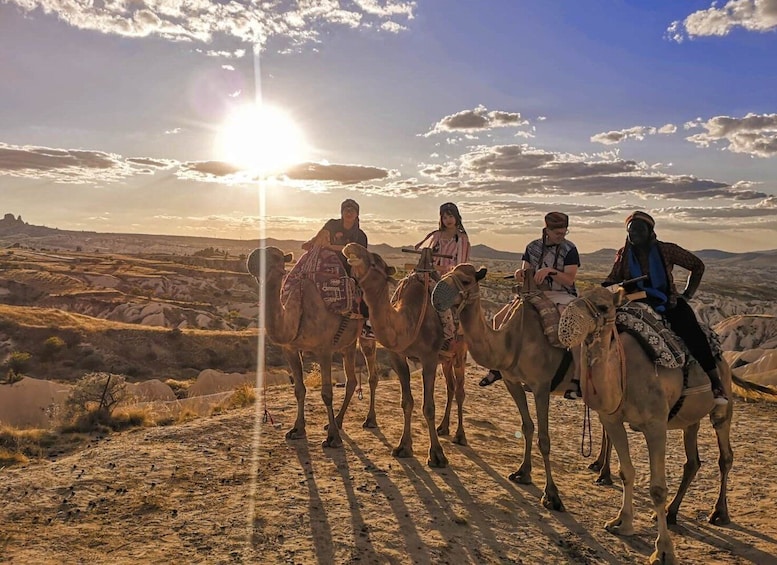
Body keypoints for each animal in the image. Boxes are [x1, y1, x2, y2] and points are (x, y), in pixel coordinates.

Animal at [247, 245, 378, 448]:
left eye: (276, 256)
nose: (252, 259)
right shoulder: (290, 349)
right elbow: (299, 389)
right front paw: (297, 430)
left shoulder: (324, 349)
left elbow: (327, 393)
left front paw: (333, 438)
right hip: (347, 344)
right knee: (351, 380)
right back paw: (338, 421)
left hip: (366, 333)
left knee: (372, 374)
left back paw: (369, 420)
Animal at [342, 242, 464, 468]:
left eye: (376, 260)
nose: (351, 247)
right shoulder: (398, 356)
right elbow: (407, 401)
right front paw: (404, 447)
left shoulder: (429, 358)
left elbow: (428, 407)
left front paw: (437, 455)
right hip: (446, 359)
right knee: (451, 387)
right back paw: (444, 428)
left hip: (460, 352)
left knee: (460, 390)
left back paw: (460, 436)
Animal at [430, 262, 584, 508]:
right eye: (446, 273)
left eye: (466, 280)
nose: (437, 295)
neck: (513, 340)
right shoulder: (512, 381)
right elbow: (527, 426)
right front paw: (523, 473)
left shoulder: (541, 386)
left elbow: (544, 438)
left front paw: (552, 495)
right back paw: (602, 472)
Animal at [556, 286, 732, 564]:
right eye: (578, 296)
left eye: (604, 307)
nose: (567, 324)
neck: (624, 372)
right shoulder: (612, 420)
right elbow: (626, 472)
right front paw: (622, 523)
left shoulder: (655, 425)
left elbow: (657, 488)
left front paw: (663, 551)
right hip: (689, 419)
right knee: (692, 462)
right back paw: (671, 513)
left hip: (722, 407)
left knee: (725, 456)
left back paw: (719, 513)